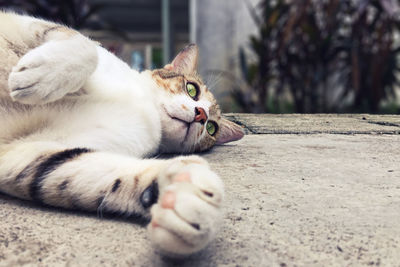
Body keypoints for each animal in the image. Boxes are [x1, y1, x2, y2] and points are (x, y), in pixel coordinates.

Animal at [0, 11, 244, 258]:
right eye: (192, 89)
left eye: (212, 128)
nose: (202, 115)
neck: (144, 103)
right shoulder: (25, 24)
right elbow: (85, 45)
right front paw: (42, 75)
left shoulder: (20, 151)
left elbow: (71, 166)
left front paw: (185, 195)